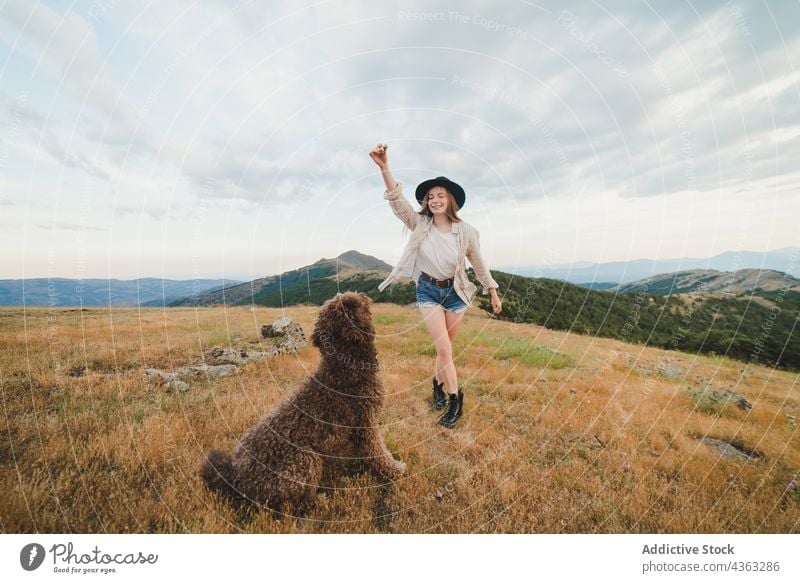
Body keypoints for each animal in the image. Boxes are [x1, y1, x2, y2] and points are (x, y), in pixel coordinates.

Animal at [200, 290, 406, 512]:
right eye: (352, 304)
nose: (362, 295)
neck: (342, 370)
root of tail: (235, 477)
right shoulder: (366, 426)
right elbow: (379, 453)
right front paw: (395, 470)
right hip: (305, 460)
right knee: (297, 504)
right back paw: (322, 501)